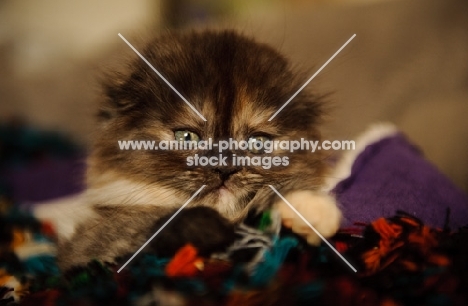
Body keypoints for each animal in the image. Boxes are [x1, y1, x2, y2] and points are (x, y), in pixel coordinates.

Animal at [56, 30, 342, 270]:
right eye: (187, 137)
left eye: (257, 143)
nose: (225, 168)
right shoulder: (88, 244)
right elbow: (146, 223)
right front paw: (215, 229)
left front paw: (308, 210)